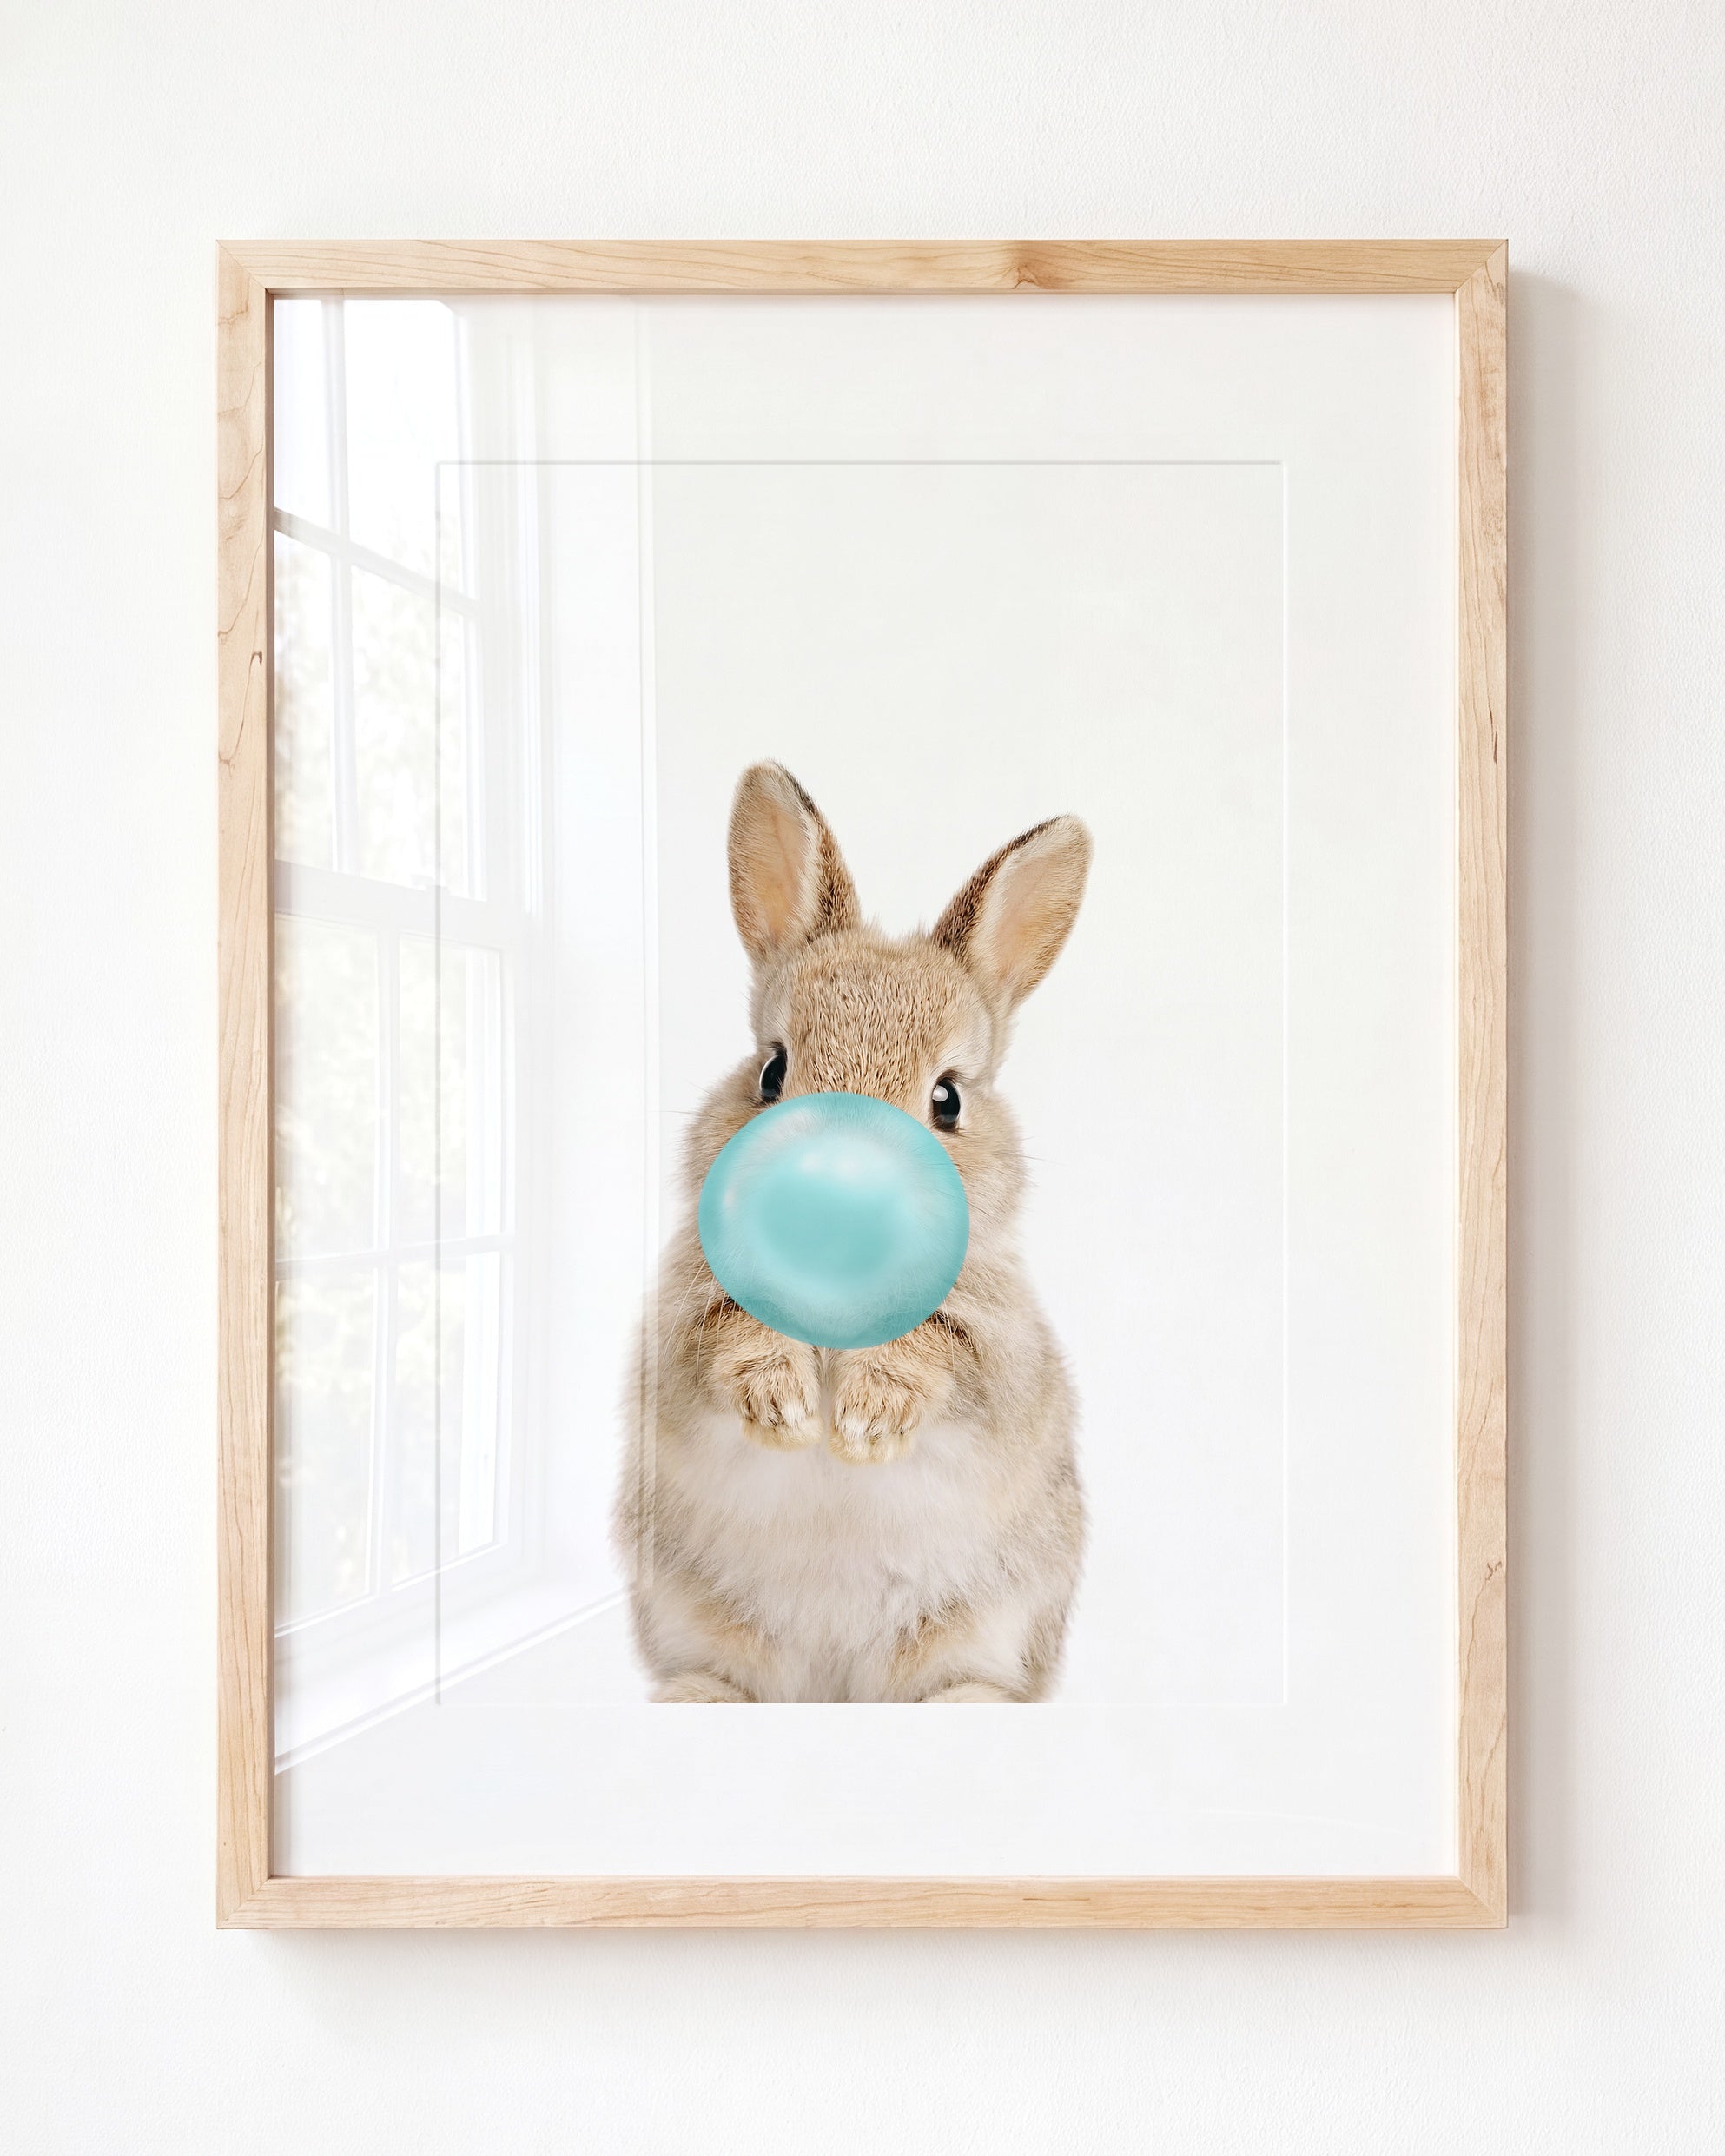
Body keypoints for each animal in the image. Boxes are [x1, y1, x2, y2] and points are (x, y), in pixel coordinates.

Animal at [615, 761, 1091, 1702]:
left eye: (947, 1099)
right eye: (771, 1070)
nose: (835, 1188)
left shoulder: (1000, 1355)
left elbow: (938, 1352)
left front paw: (865, 1423)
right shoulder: (680, 1334)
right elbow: (729, 1339)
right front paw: (787, 1409)